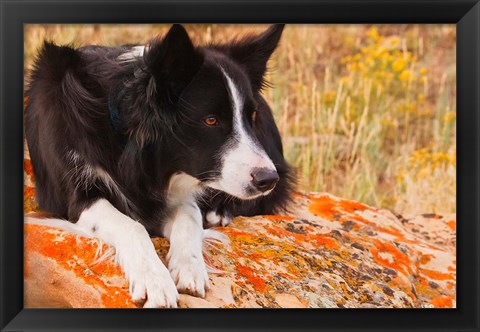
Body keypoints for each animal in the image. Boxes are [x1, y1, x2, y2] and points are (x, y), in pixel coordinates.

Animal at [26, 24, 296, 308]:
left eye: (250, 116)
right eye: (211, 120)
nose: (268, 179)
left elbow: (190, 213)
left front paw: (190, 268)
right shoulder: (74, 195)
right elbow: (131, 225)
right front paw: (154, 280)